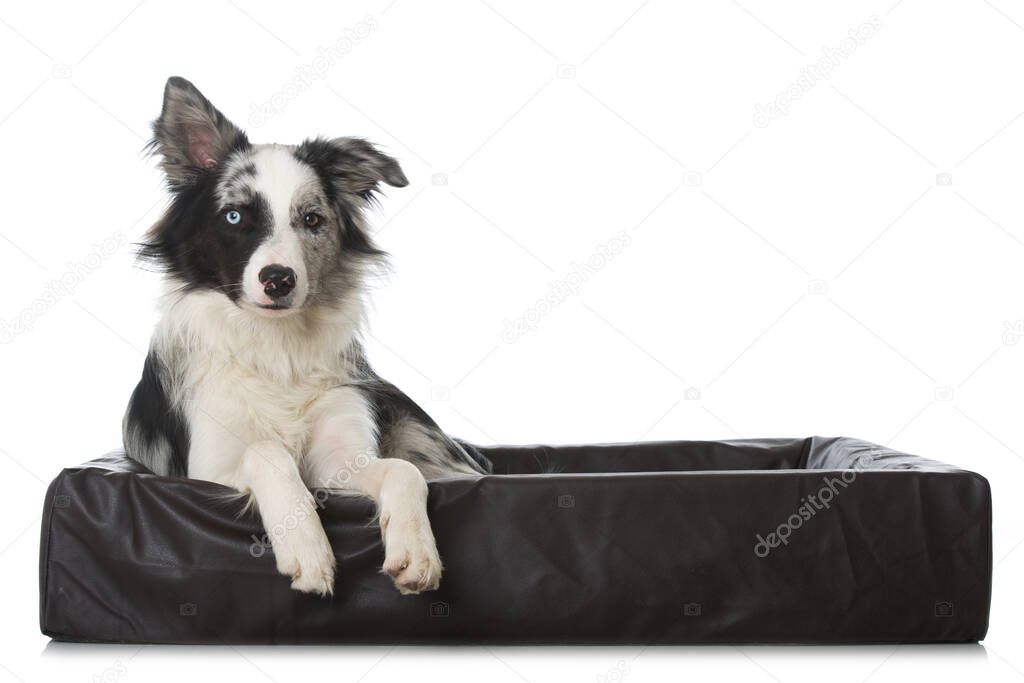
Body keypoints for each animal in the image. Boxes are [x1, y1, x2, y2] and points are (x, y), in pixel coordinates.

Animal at [121, 77, 489, 593]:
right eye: (234, 217)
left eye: (311, 219)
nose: (278, 279)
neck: (277, 347)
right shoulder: (205, 468)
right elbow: (267, 451)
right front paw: (307, 547)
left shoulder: (341, 459)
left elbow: (403, 471)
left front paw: (416, 548)